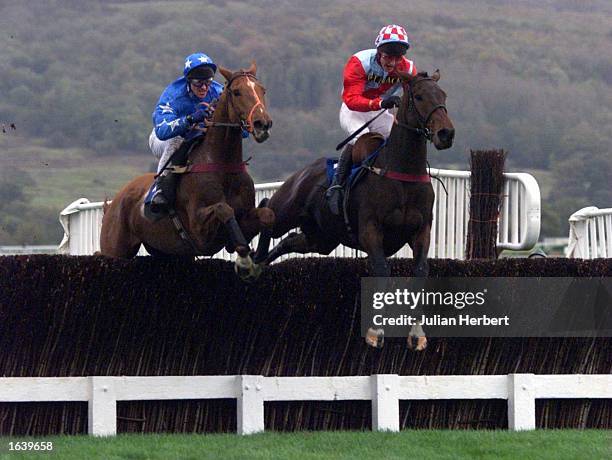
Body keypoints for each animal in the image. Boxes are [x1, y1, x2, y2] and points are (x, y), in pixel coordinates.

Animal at [101, 62, 274, 278]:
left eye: (262, 90)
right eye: (236, 92)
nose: (262, 124)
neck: (223, 165)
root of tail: (113, 203)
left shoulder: (243, 218)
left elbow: (267, 214)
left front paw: (258, 257)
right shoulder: (199, 232)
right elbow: (224, 208)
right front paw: (244, 259)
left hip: (170, 252)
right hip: (114, 249)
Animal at [252, 70, 454, 346]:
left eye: (443, 95)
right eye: (420, 96)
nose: (446, 133)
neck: (402, 173)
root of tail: (304, 171)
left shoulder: (421, 230)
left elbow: (421, 270)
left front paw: (417, 333)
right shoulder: (370, 230)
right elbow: (381, 269)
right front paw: (375, 331)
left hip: (321, 239)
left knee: (288, 241)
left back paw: (257, 266)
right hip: (287, 211)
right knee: (267, 211)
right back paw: (248, 263)